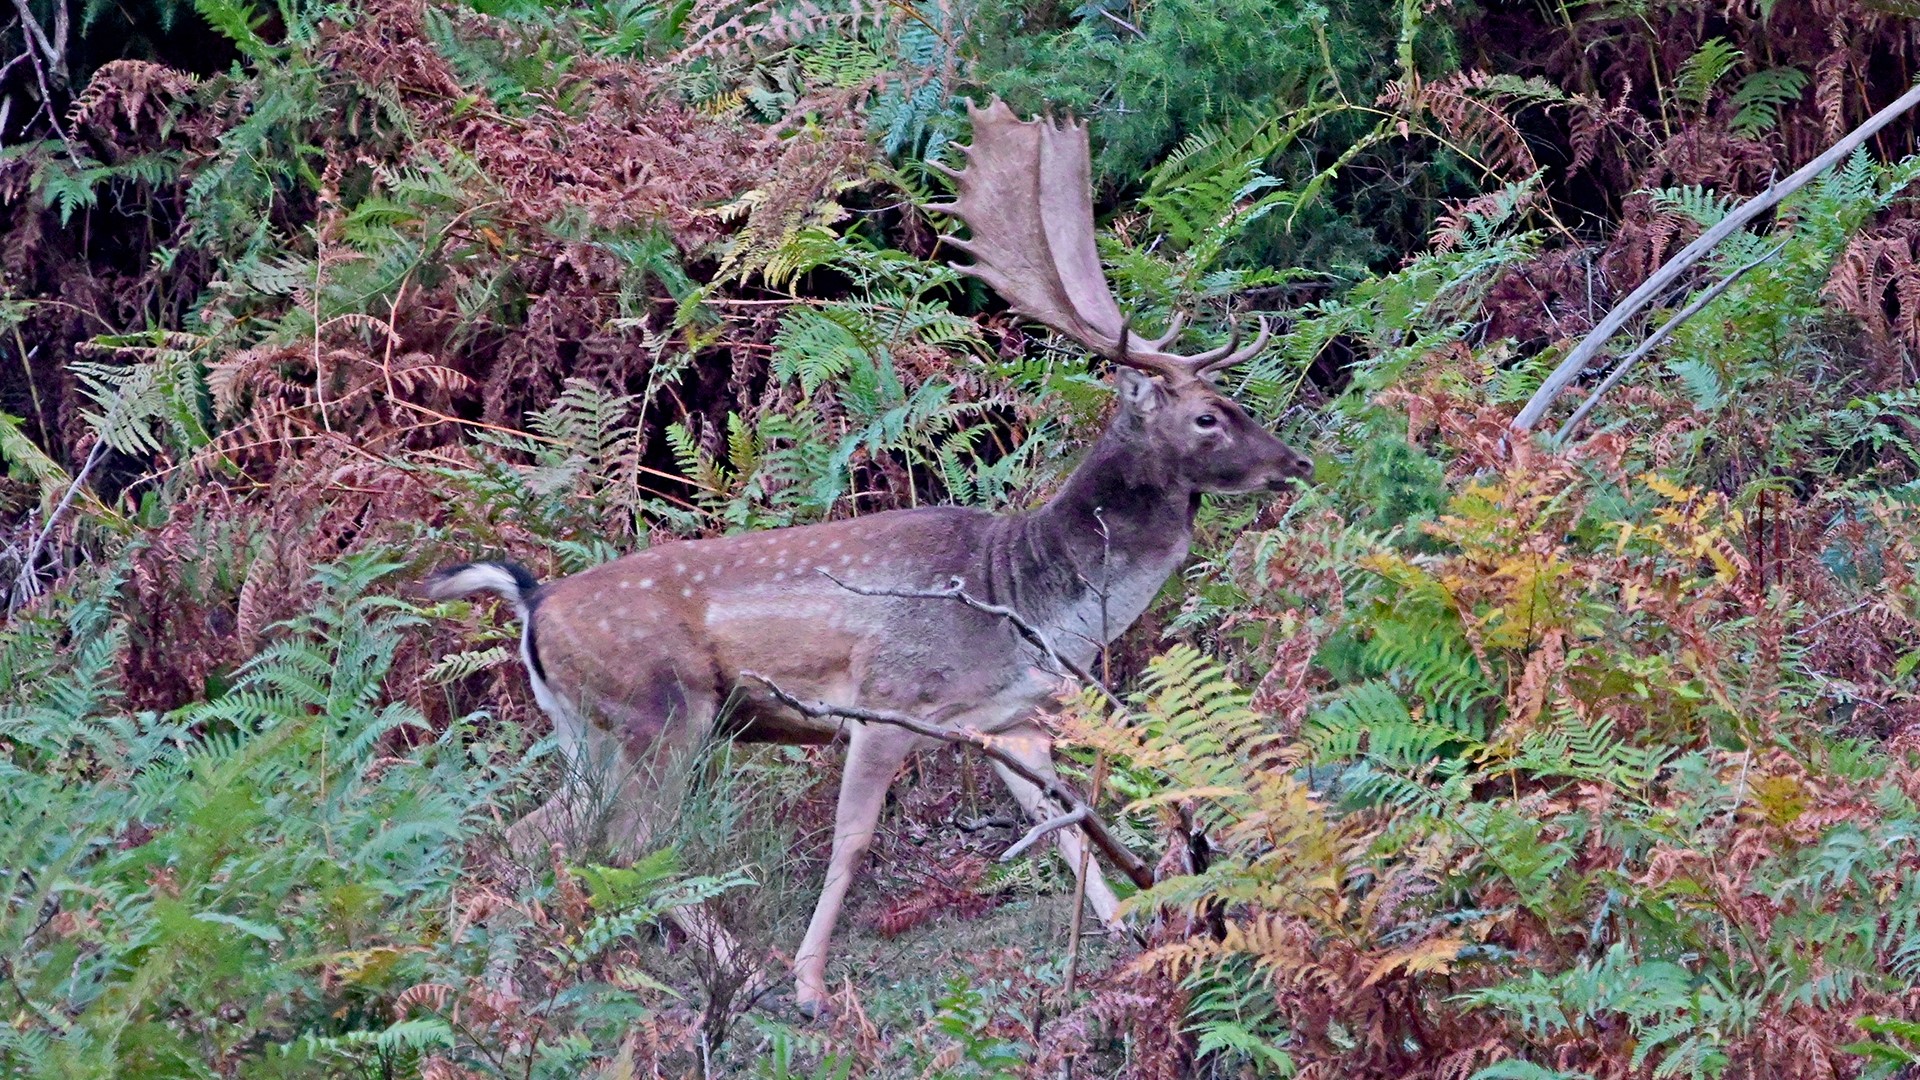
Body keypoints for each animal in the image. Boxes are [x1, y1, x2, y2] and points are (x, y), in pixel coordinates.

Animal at [426, 96, 1313, 1006]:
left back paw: (497, 986)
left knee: (530, 837)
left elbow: (1065, 825)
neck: (1028, 601)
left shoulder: (1013, 721)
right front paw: (811, 986)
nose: (1297, 463)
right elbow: (852, 842)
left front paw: (1126, 930)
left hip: (584, 730)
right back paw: (735, 972)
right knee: (632, 844)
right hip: (660, 714)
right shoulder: (887, 701)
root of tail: (532, 601)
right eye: (1207, 417)